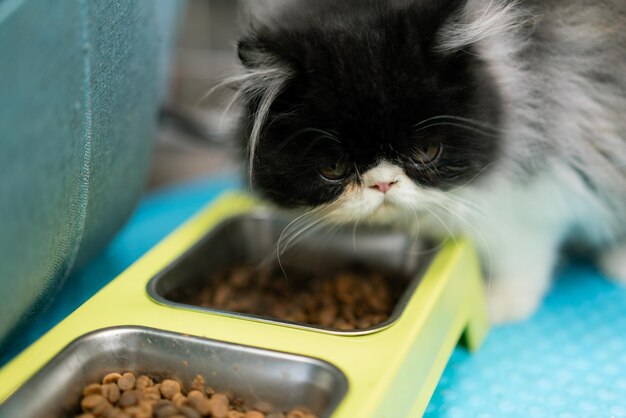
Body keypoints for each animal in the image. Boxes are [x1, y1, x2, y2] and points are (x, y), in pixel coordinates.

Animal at [227, 0, 624, 324]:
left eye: (426, 152)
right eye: (333, 169)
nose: (383, 182)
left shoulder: (540, 184)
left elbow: (524, 251)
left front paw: (498, 305)